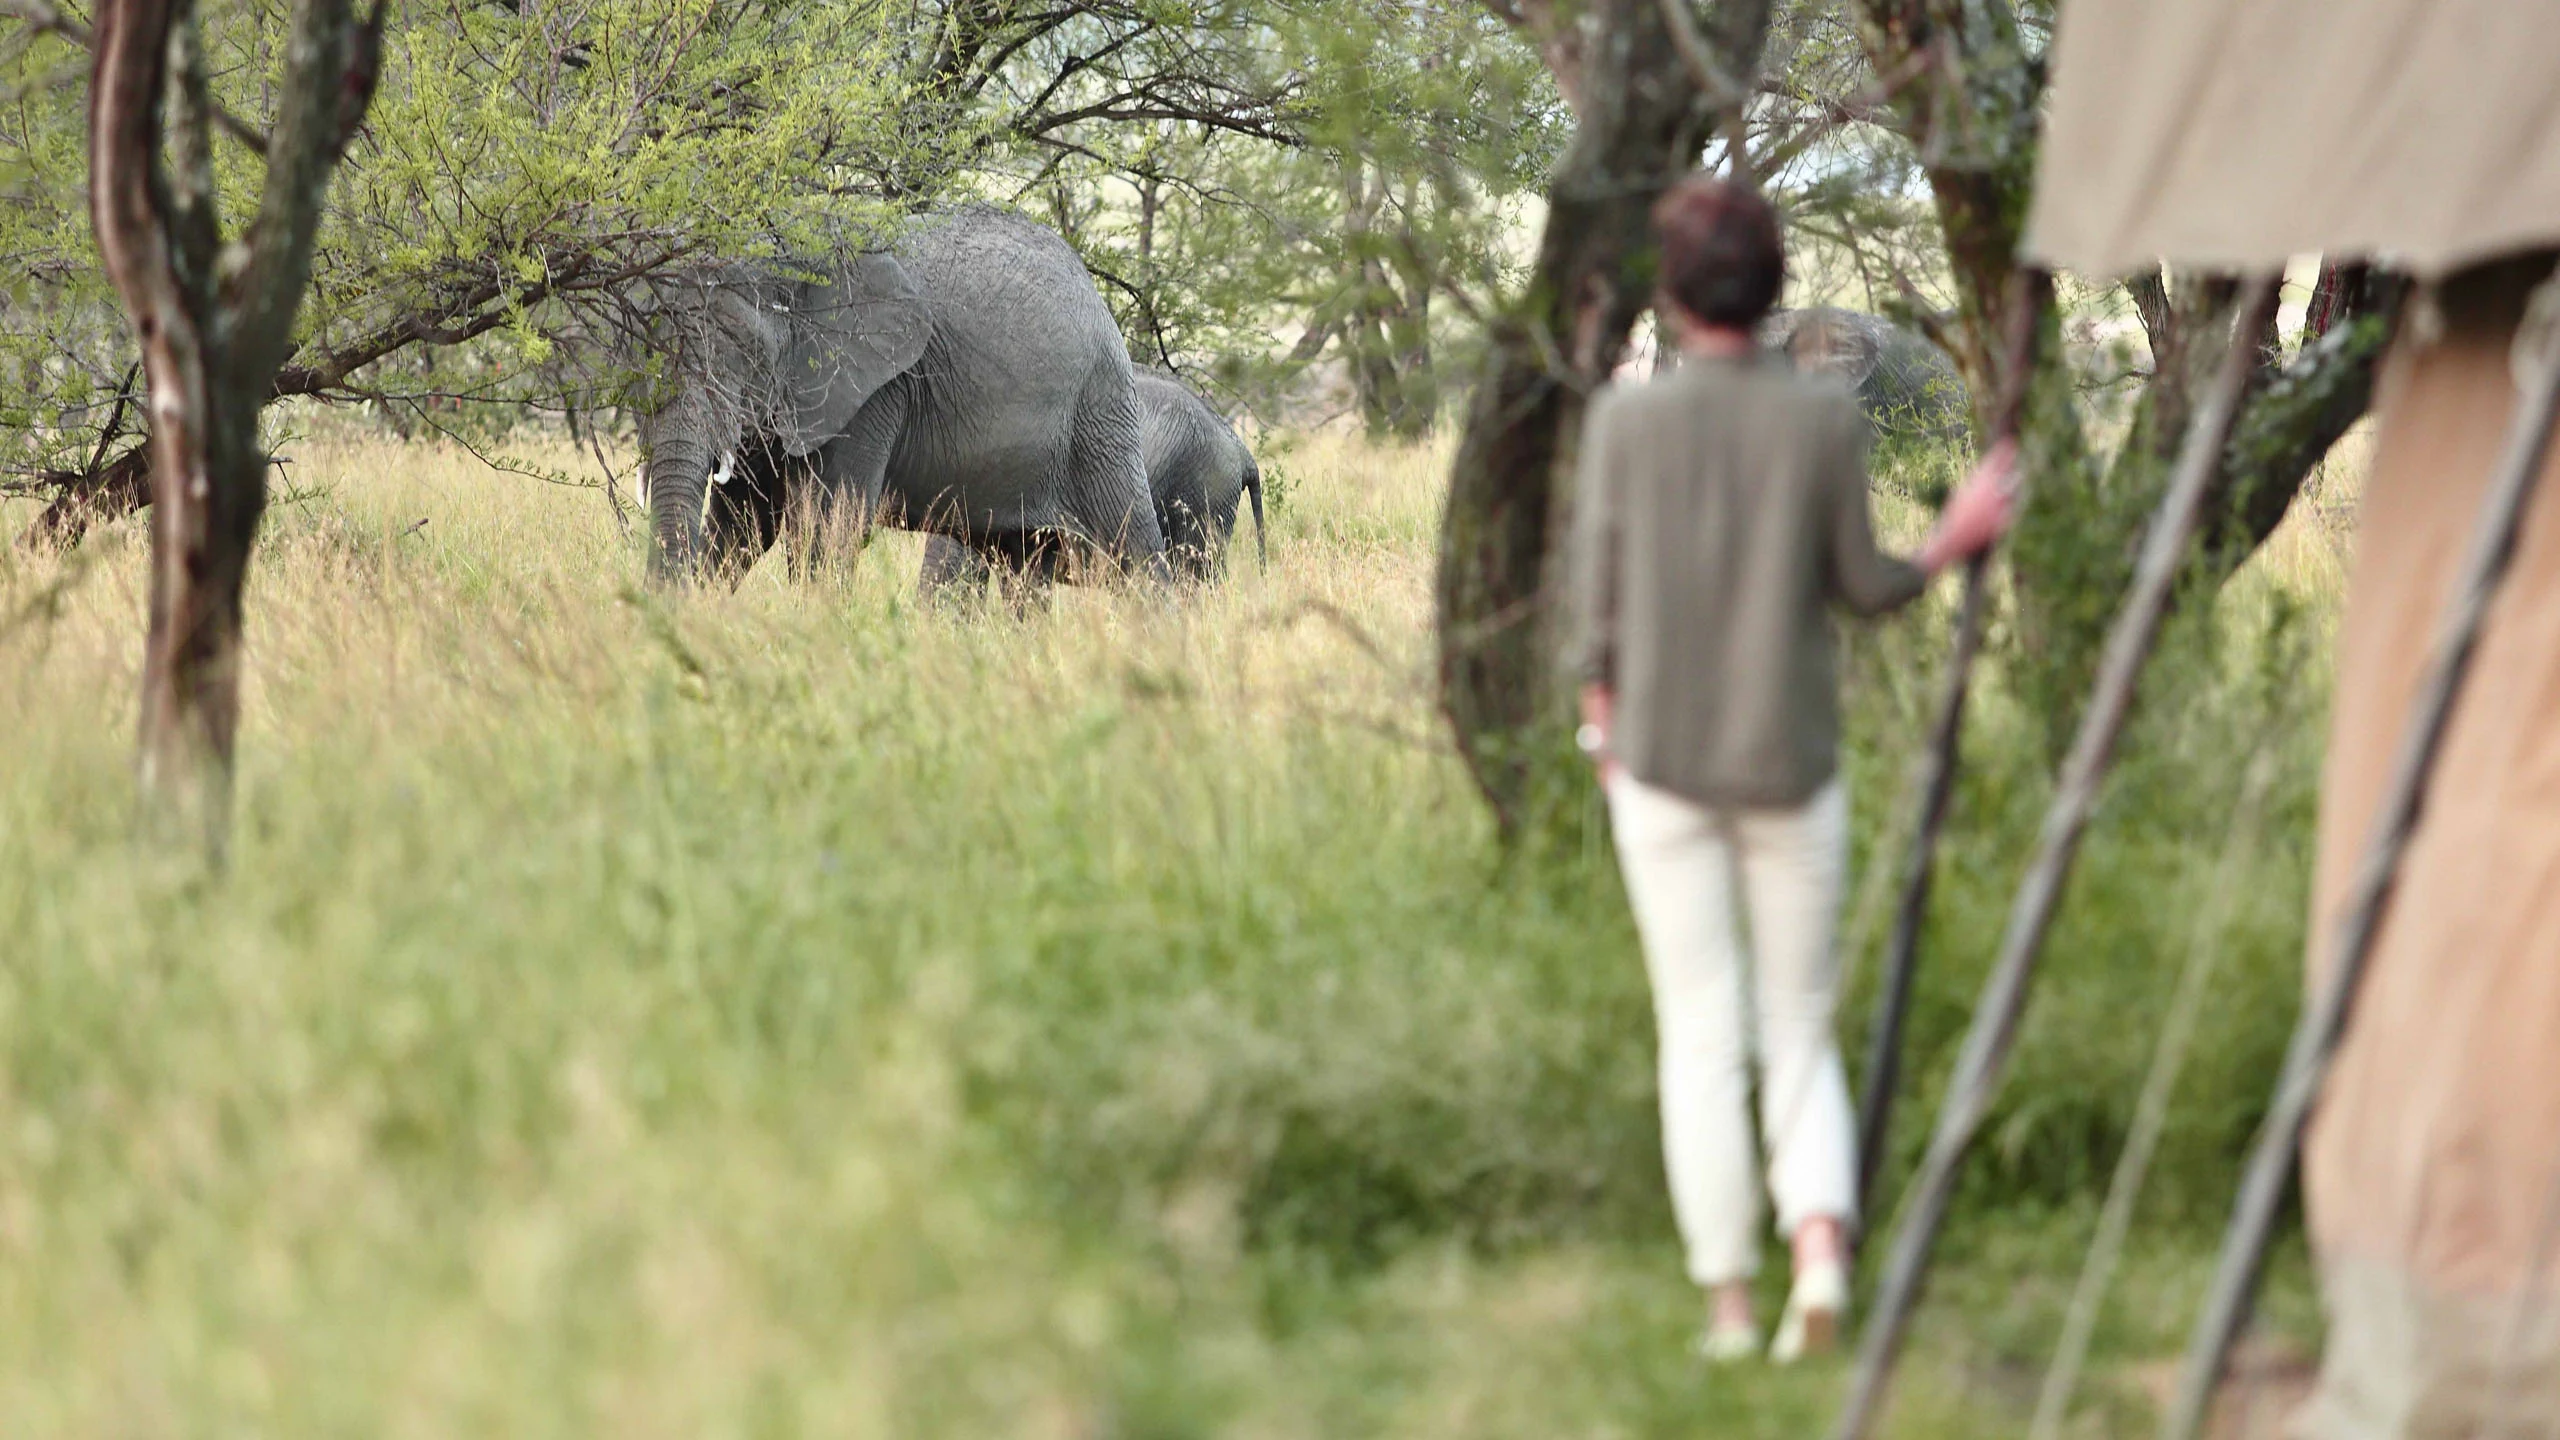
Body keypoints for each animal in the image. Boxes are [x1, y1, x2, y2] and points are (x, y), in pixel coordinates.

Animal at [636, 205, 1166, 584]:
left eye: (747, 351)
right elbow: (744, 525)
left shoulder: (873, 388)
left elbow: (827, 529)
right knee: (1019, 561)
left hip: (1100, 412)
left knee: (1133, 552)